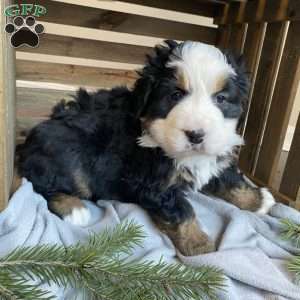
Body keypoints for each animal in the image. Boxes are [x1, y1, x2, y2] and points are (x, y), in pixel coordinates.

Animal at [15, 39, 274, 255]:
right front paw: (199, 244)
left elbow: (231, 180)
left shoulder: (214, 153)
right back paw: (73, 209)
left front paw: (258, 200)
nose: (196, 135)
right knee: (43, 183)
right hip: (66, 152)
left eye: (221, 98)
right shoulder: (154, 183)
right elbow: (183, 210)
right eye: (175, 94)